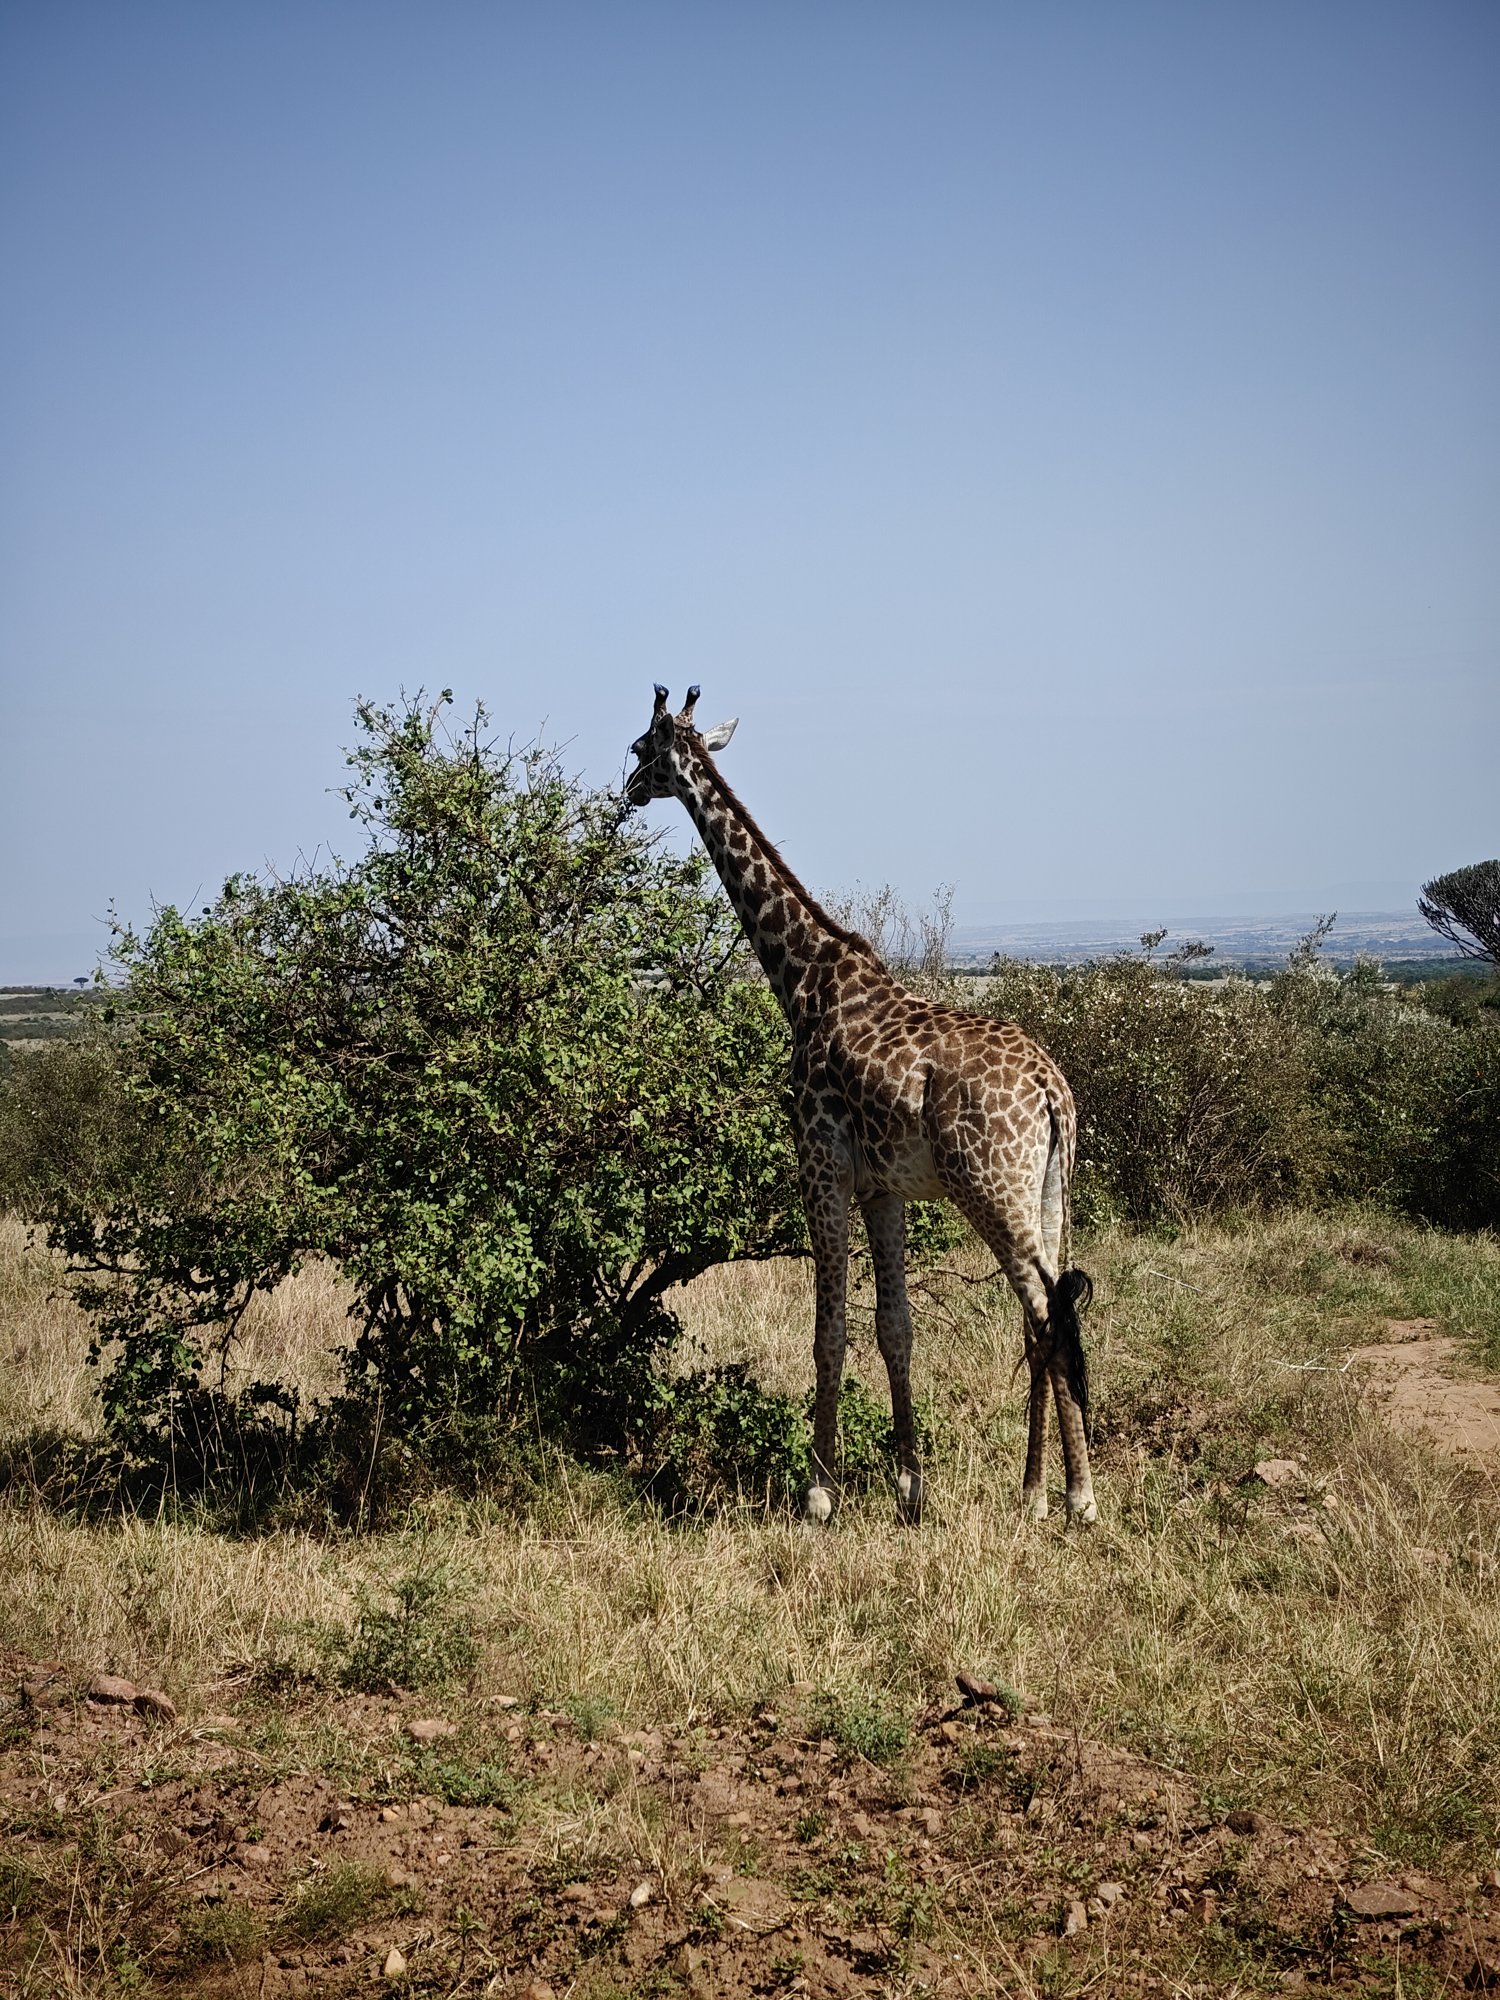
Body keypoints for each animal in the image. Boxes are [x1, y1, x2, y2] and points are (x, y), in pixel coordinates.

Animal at [625, 686, 1096, 1527]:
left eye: (642, 747)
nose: (626, 790)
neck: (801, 980)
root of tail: (1052, 1092)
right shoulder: (884, 1188)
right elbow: (895, 1328)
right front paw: (911, 1487)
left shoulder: (820, 1163)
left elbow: (830, 1329)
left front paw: (819, 1491)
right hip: (1047, 1188)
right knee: (1045, 1312)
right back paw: (1038, 1489)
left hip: (990, 1185)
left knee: (1048, 1312)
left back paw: (1073, 1497)